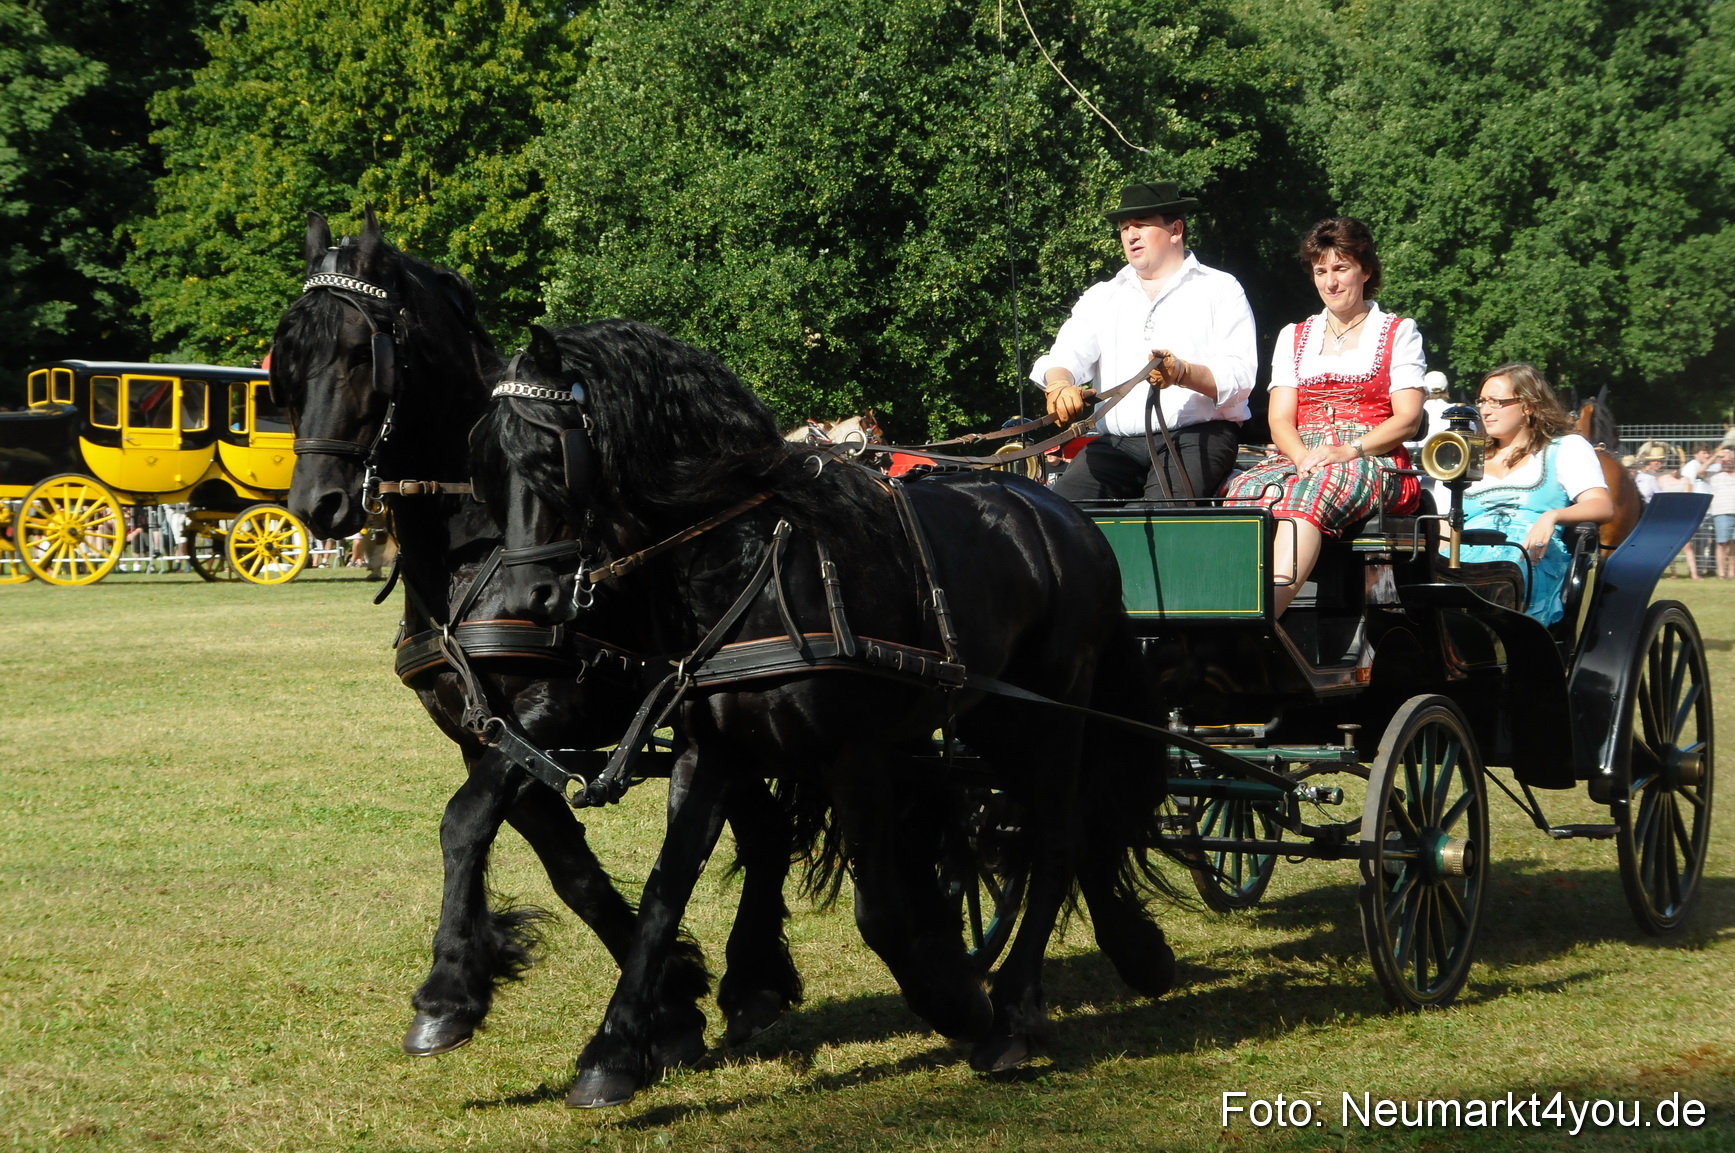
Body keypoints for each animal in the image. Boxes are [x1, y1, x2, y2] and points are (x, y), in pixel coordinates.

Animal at [268, 212, 804, 1066]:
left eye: (359, 350)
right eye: (286, 358)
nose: (315, 504)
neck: (474, 546)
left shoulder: (555, 706)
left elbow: (464, 821)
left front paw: (449, 989)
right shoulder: (474, 728)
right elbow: (560, 859)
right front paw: (671, 1001)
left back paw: (753, 976)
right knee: (756, 824)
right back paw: (750, 977)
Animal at [469, 320, 1179, 1107]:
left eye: (550, 456)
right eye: (487, 465)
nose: (528, 601)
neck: (750, 570)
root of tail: (1067, 520)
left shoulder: (854, 757)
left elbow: (878, 909)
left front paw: (959, 1003)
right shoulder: (710, 754)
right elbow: (664, 890)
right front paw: (616, 1050)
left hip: (1049, 719)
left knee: (1055, 838)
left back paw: (1016, 1013)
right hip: (993, 719)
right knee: (1072, 831)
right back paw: (1132, 951)